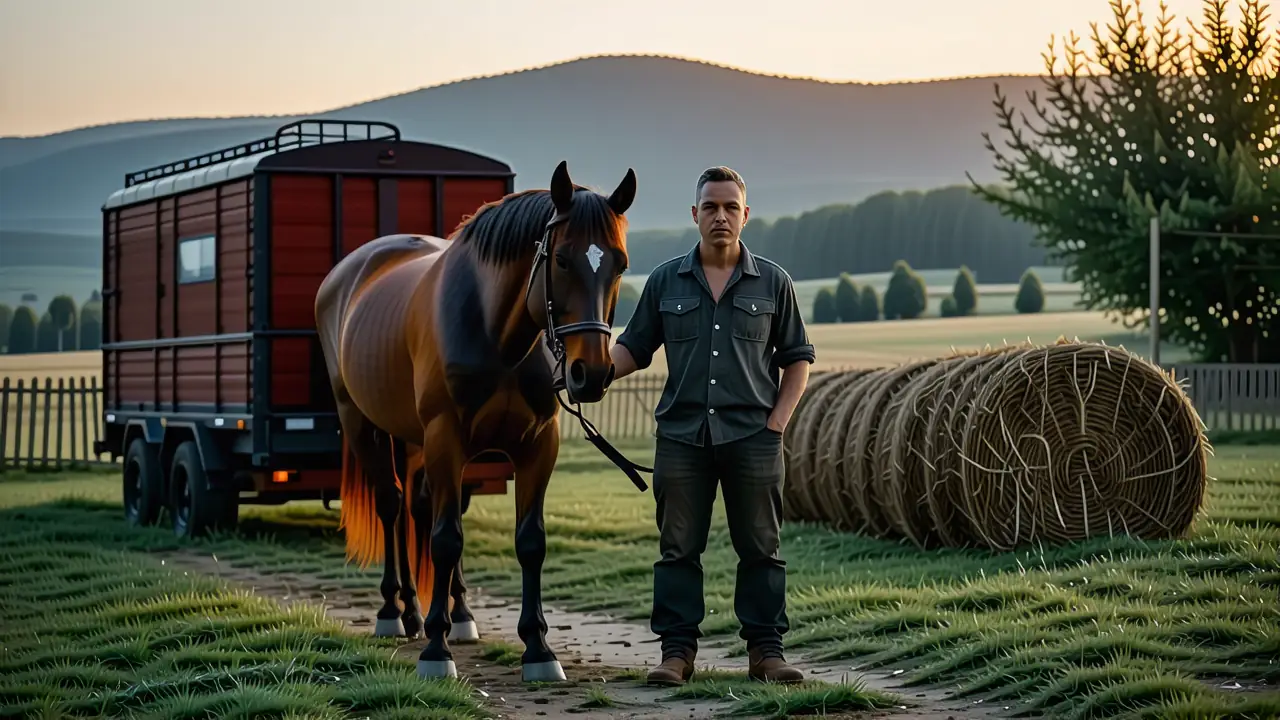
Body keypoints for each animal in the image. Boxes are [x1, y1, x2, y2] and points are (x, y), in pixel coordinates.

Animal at [315, 161, 636, 682]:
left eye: (621, 264)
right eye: (561, 260)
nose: (590, 374)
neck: (496, 331)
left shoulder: (537, 445)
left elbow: (530, 541)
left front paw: (538, 649)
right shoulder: (446, 438)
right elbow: (446, 539)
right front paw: (436, 650)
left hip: (414, 439)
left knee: (416, 508)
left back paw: (436, 612)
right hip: (363, 423)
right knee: (391, 505)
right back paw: (393, 613)